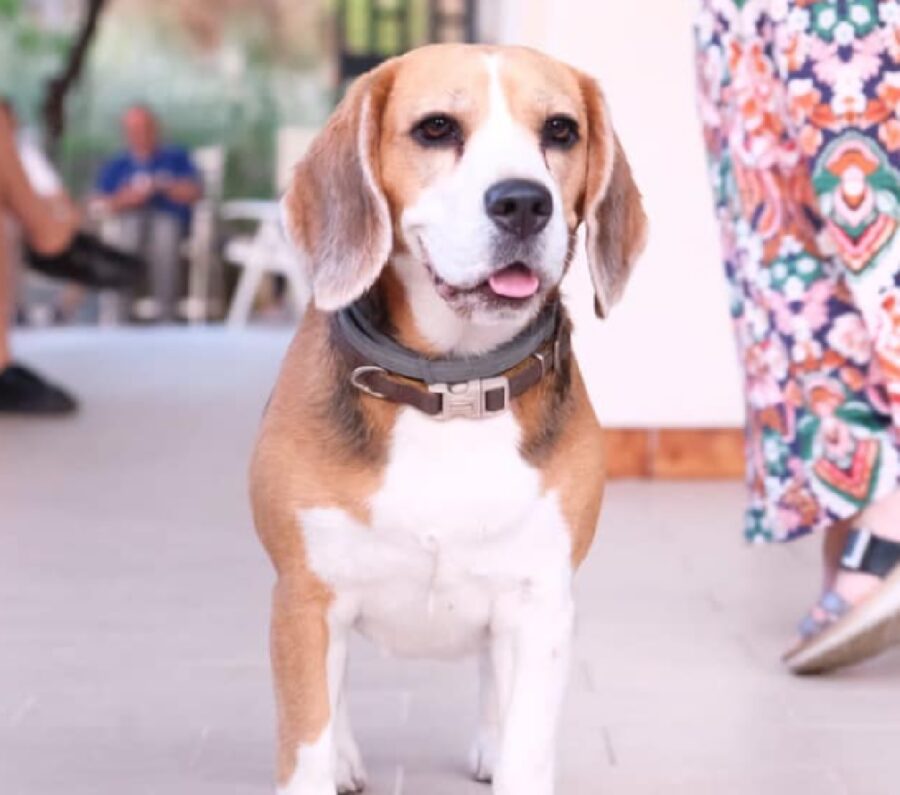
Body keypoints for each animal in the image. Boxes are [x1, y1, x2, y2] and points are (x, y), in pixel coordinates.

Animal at [251, 43, 648, 795]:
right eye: (436, 129)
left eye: (560, 130)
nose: (524, 201)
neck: (450, 387)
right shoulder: (305, 599)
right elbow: (308, 734)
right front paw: (329, 758)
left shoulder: (541, 603)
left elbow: (527, 744)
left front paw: (509, 752)